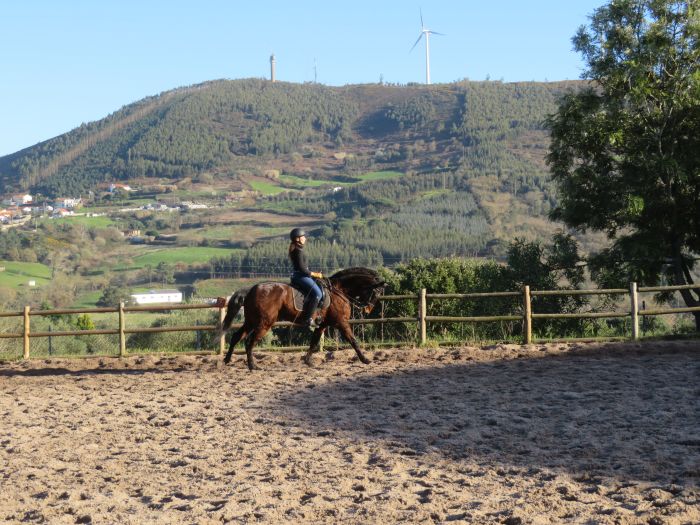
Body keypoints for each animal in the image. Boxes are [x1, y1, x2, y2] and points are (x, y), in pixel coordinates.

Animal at [219, 266, 386, 368]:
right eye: (376, 292)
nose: (367, 310)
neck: (338, 291)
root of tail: (252, 289)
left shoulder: (322, 325)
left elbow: (313, 342)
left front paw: (307, 361)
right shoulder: (341, 322)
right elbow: (353, 341)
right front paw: (365, 359)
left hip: (251, 321)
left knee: (236, 336)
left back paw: (227, 360)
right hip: (264, 323)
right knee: (249, 341)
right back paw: (252, 366)